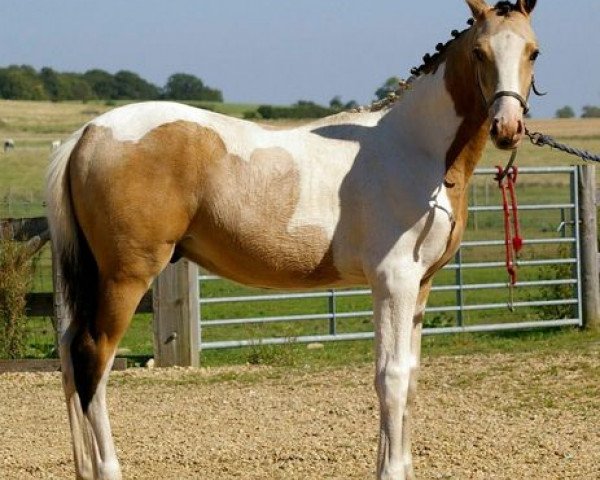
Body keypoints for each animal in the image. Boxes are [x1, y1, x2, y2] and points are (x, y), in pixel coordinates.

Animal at [48, 1, 540, 478]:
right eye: (479, 52)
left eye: (533, 52)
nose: (507, 127)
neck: (414, 148)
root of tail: (88, 134)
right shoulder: (393, 282)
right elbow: (392, 378)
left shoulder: (420, 285)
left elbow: (410, 378)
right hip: (125, 278)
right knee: (94, 359)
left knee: (70, 357)